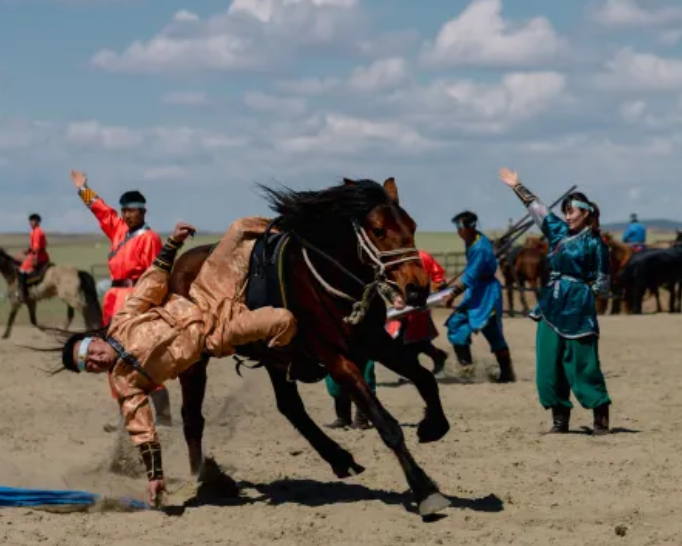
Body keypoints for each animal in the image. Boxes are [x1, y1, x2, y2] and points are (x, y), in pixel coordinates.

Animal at [167, 177, 452, 516]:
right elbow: (386, 423)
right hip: (195, 361)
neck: (329, 281)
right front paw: (424, 489)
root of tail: (181, 266)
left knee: (290, 407)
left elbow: (425, 378)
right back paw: (203, 479)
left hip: (276, 359)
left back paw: (340, 459)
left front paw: (433, 426)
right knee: (192, 417)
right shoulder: (337, 359)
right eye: (378, 230)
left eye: (411, 225)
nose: (417, 289)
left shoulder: (376, 343)